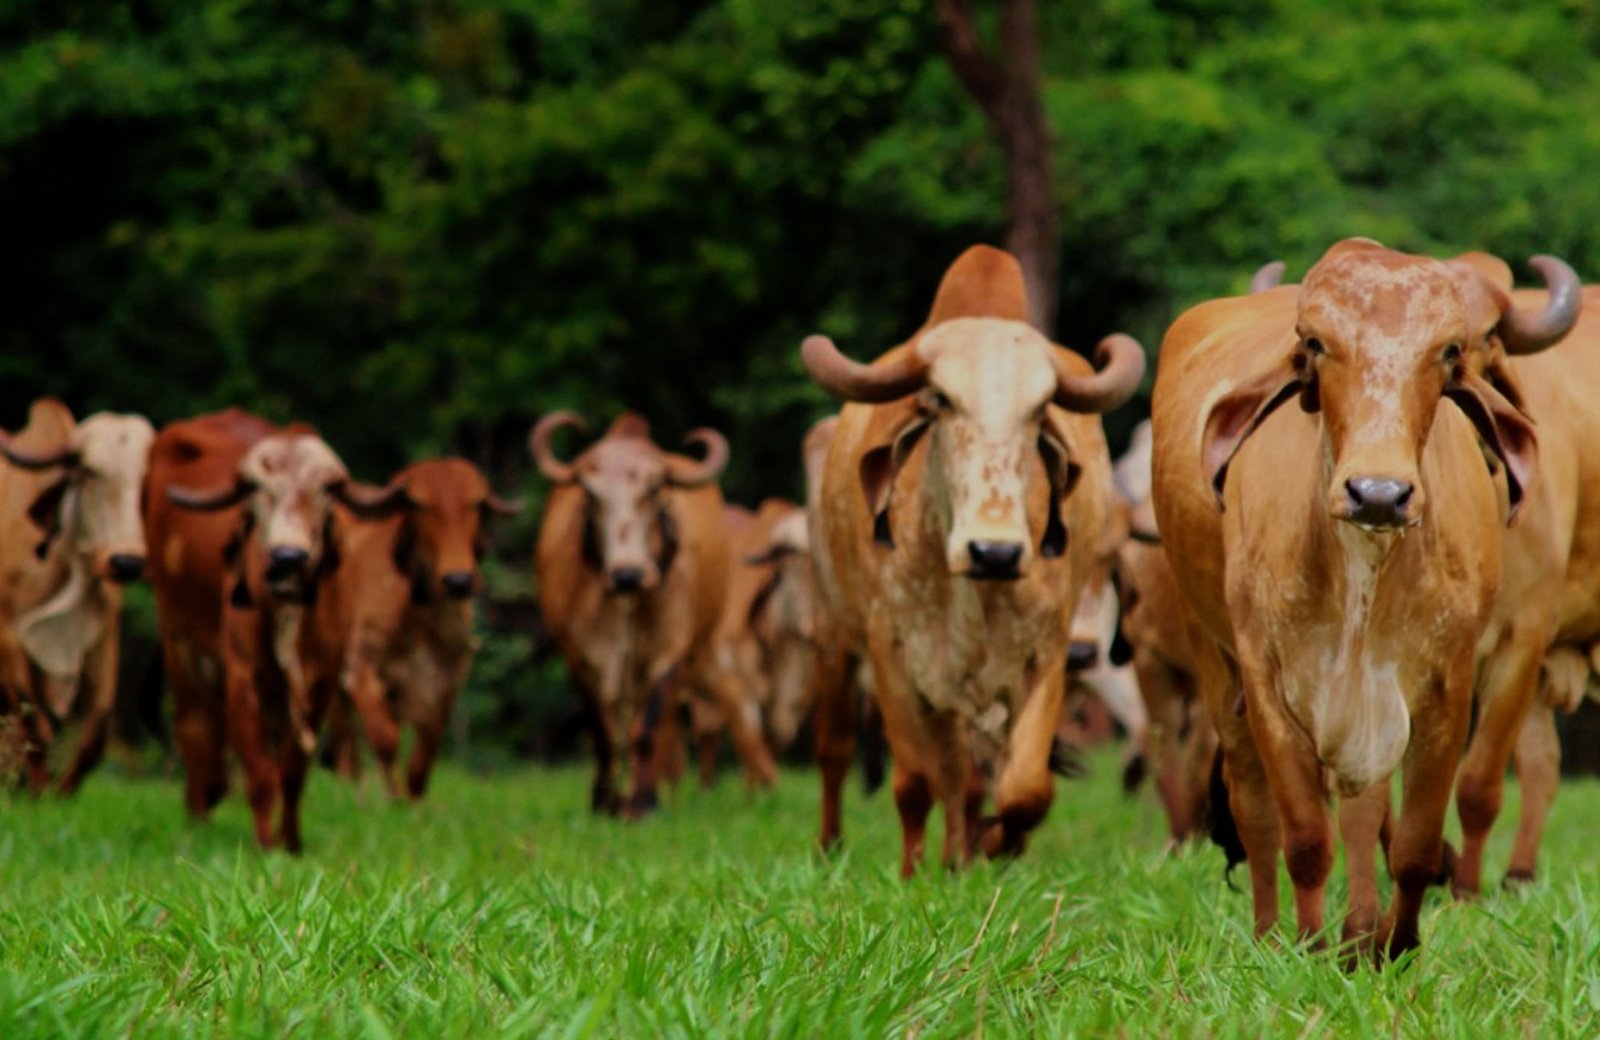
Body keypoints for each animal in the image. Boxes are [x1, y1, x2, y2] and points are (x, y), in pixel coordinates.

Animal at [0, 396, 152, 787]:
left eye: (146, 479)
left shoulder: (102, 636)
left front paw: (61, 789)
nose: (126, 562)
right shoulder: (9, 636)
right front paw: (40, 789)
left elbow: (97, 726)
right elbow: (34, 726)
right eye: (90, 472)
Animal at [323, 457, 518, 796]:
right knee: (346, 741)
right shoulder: (360, 669)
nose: (459, 580)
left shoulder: (445, 681)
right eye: (418, 504)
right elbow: (385, 739)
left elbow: (424, 754)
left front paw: (413, 798)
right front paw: (394, 798)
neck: (419, 613)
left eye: (476, 503)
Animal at [528, 409, 745, 812]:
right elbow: (602, 731)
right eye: (590, 492)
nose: (627, 573)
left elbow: (647, 731)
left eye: (655, 489)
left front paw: (643, 803)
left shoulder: (666, 655)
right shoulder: (579, 658)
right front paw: (604, 801)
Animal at [806, 243, 1145, 864]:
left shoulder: (1047, 653)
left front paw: (992, 843)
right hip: (833, 637)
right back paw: (834, 847)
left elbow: (1024, 789)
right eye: (940, 400)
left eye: (1041, 409)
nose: (994, 552)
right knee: (836, 751)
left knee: (963, 775)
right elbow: (914, 783)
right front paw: (914, 871)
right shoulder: (893, 653)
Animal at [1158, 236, 1580, 953]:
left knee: (1365, 811)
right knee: (1253, 805)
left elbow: (1414, 839)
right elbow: (1303, 836)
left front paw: (1392, 945)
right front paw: (1306, 948)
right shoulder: (1268, 681)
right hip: (1212, 657)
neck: (1364, 565)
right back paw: (1272, 932)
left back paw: (1359, 931)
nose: (1378, 494)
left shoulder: (1448, 682)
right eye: (1315, 343)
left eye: (1450, 351)